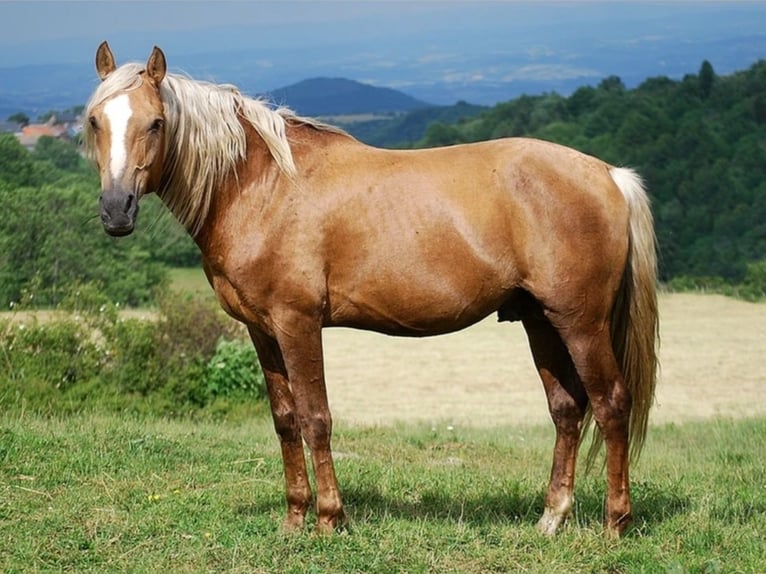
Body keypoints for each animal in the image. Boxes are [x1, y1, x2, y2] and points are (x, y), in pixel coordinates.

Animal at [85, 41, 660, 540]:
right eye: (95, 121)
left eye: (156, 123)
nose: (116, 211)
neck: (260, 186)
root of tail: (609, 175)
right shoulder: (261, 330)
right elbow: (285, 421)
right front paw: (294, 519)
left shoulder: (297, 323)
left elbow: (316, 418)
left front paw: (328, 519)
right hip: (541, 320)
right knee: (567, 410)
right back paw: (551, 519)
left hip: (580, 322)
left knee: (611, 404)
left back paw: (614, 523)